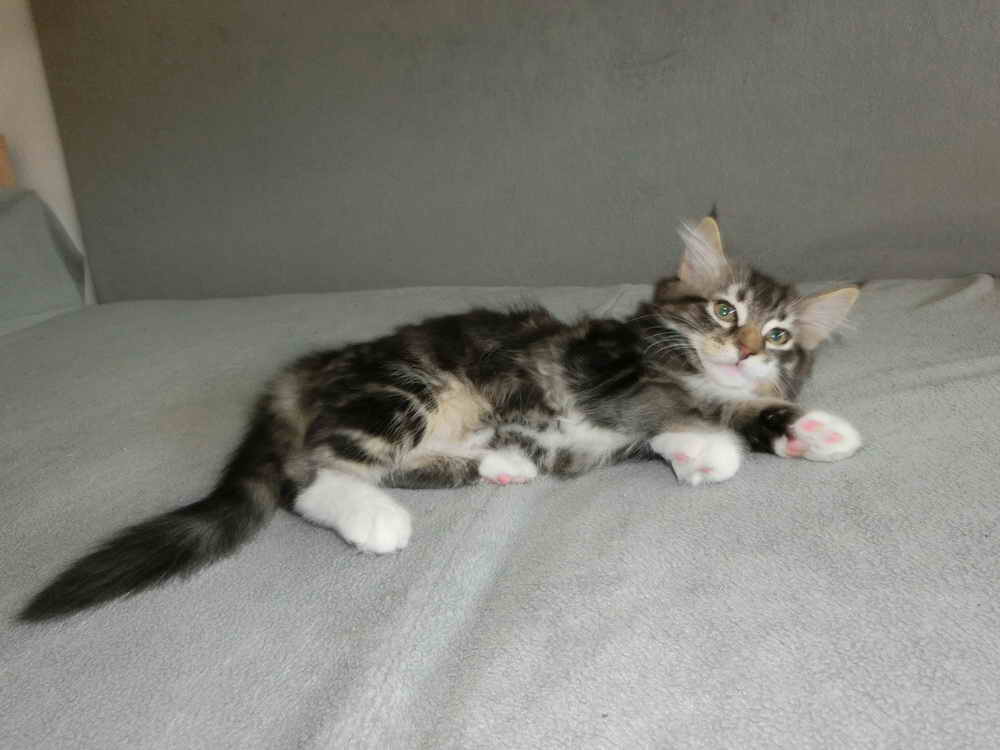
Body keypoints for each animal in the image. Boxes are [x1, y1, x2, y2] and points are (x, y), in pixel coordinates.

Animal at [20, 215, 861, 621]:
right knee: (308, 477)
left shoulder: (622, 411)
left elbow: (688, 429)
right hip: (406, 389)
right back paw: (373, 518)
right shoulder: (616, 377)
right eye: (724, 311)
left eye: (778, 336)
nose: (745, 350)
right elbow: (703, 404)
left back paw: (497, 461)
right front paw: (787, 427)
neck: (671, 352)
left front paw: (745, 442)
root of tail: (309, 369)